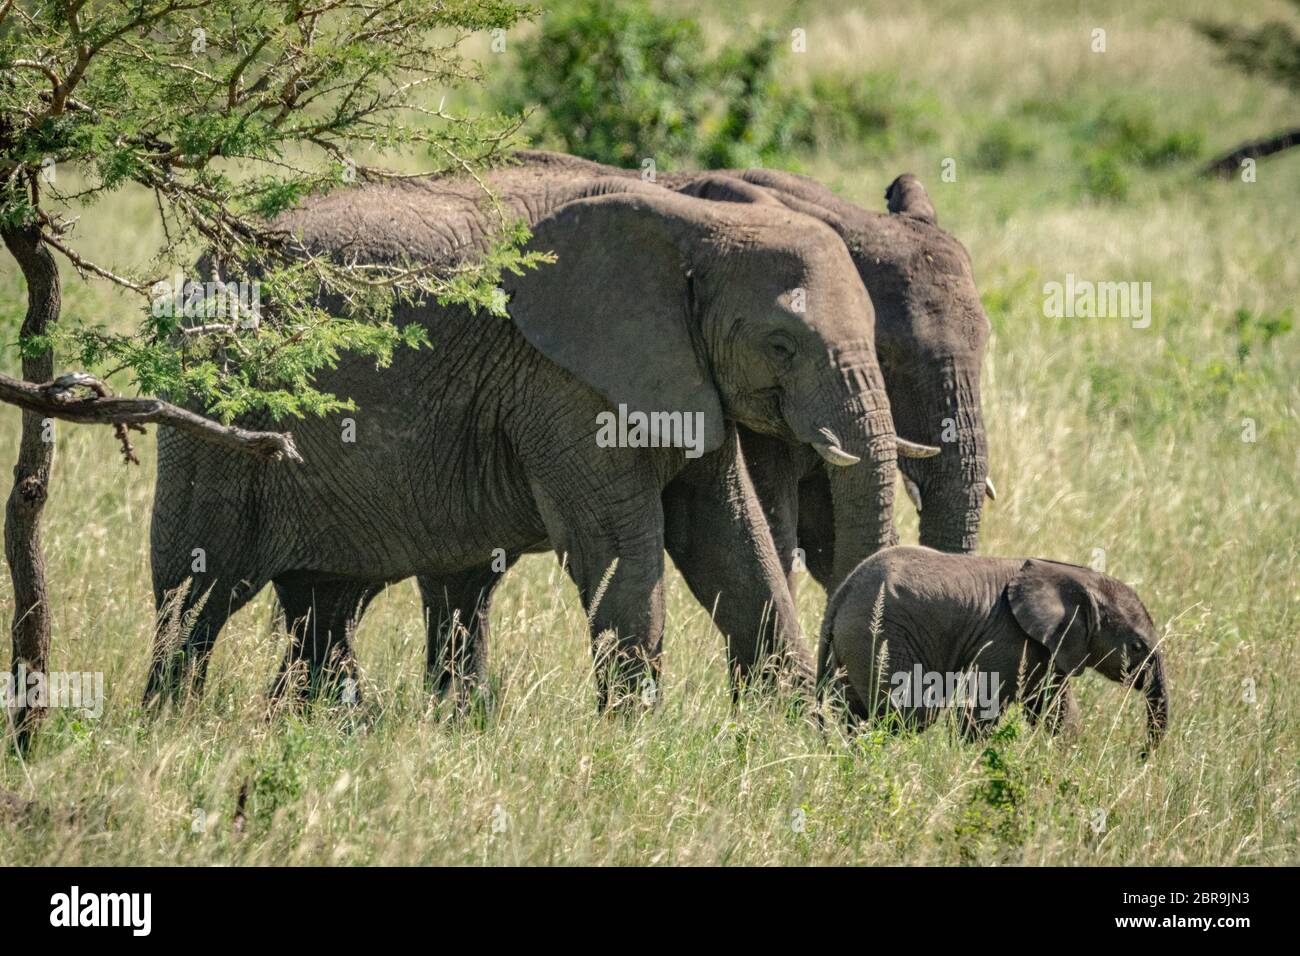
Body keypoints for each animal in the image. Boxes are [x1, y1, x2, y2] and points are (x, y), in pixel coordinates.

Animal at [145, 167, 913, 710]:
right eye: (782, 345)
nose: (850, 710)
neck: (698, 228)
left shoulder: (684, 375)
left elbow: (728, 540)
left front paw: (791, 736)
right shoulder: (561, 381)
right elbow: (619, 549)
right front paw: (632, 745)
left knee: (329, 605)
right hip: (213, 412)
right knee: (196, 587)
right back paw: (173, 726)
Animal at [817, 546, 1169, 751]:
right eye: (1137, 645)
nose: (1143, 755)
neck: (1077, 577)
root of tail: (844, 590)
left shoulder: (1047, 645)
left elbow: (1054, 707)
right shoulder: (1008, 637)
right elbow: (984, 705)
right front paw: (970, 761)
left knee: (856, 711)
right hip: (881, 635)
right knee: (910, 714)